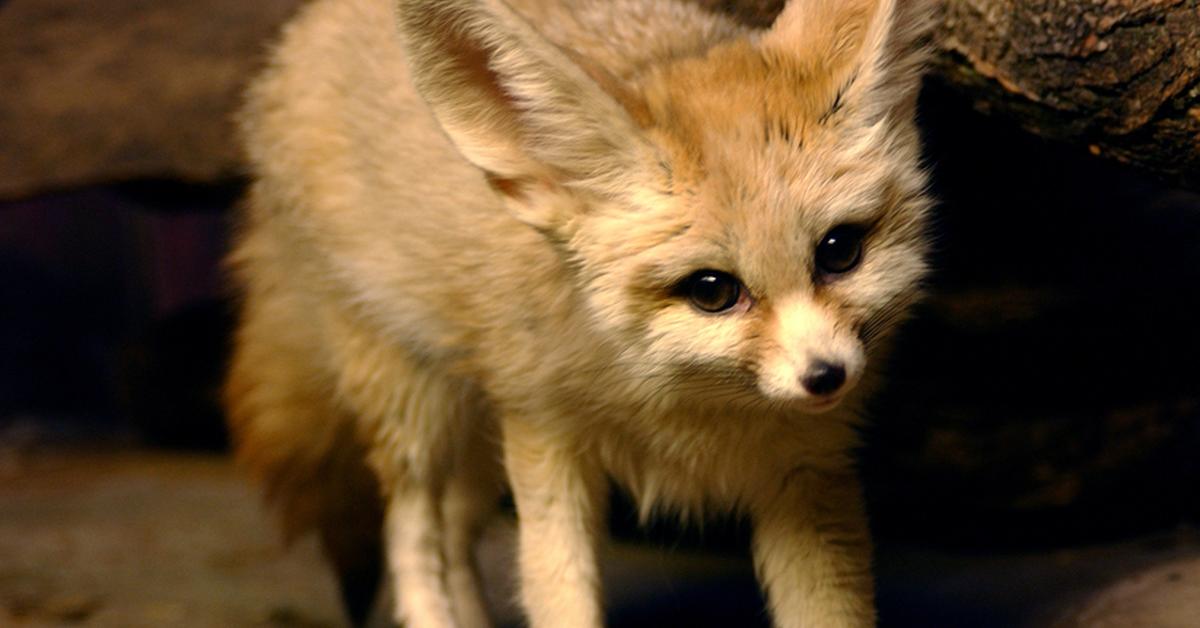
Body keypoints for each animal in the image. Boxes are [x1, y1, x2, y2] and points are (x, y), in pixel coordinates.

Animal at [226, 0, 936, 624]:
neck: (689, 409)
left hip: (481, 446)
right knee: (411, 534)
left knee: (453, 533)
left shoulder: (808, 474)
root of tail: (299, 32)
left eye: (839, 251)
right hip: (415, 413)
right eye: (712, 290)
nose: (827, 376)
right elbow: (557, 594)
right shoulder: (546, 441)